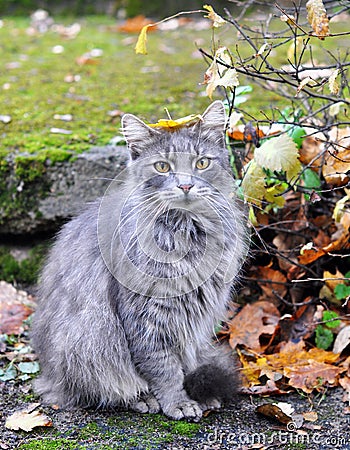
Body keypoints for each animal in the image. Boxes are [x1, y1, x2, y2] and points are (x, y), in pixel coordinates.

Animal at [31, 101, 247, 422]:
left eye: (201, 164)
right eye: (162, 167)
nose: (185, 186)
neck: (187, 234)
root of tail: (48, 375)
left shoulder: (194, 318)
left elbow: (187, 361)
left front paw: (196, 394)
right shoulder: (146, 317)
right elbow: (164, 369)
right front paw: (177, 402)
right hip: (87, 342)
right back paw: (142, 399)